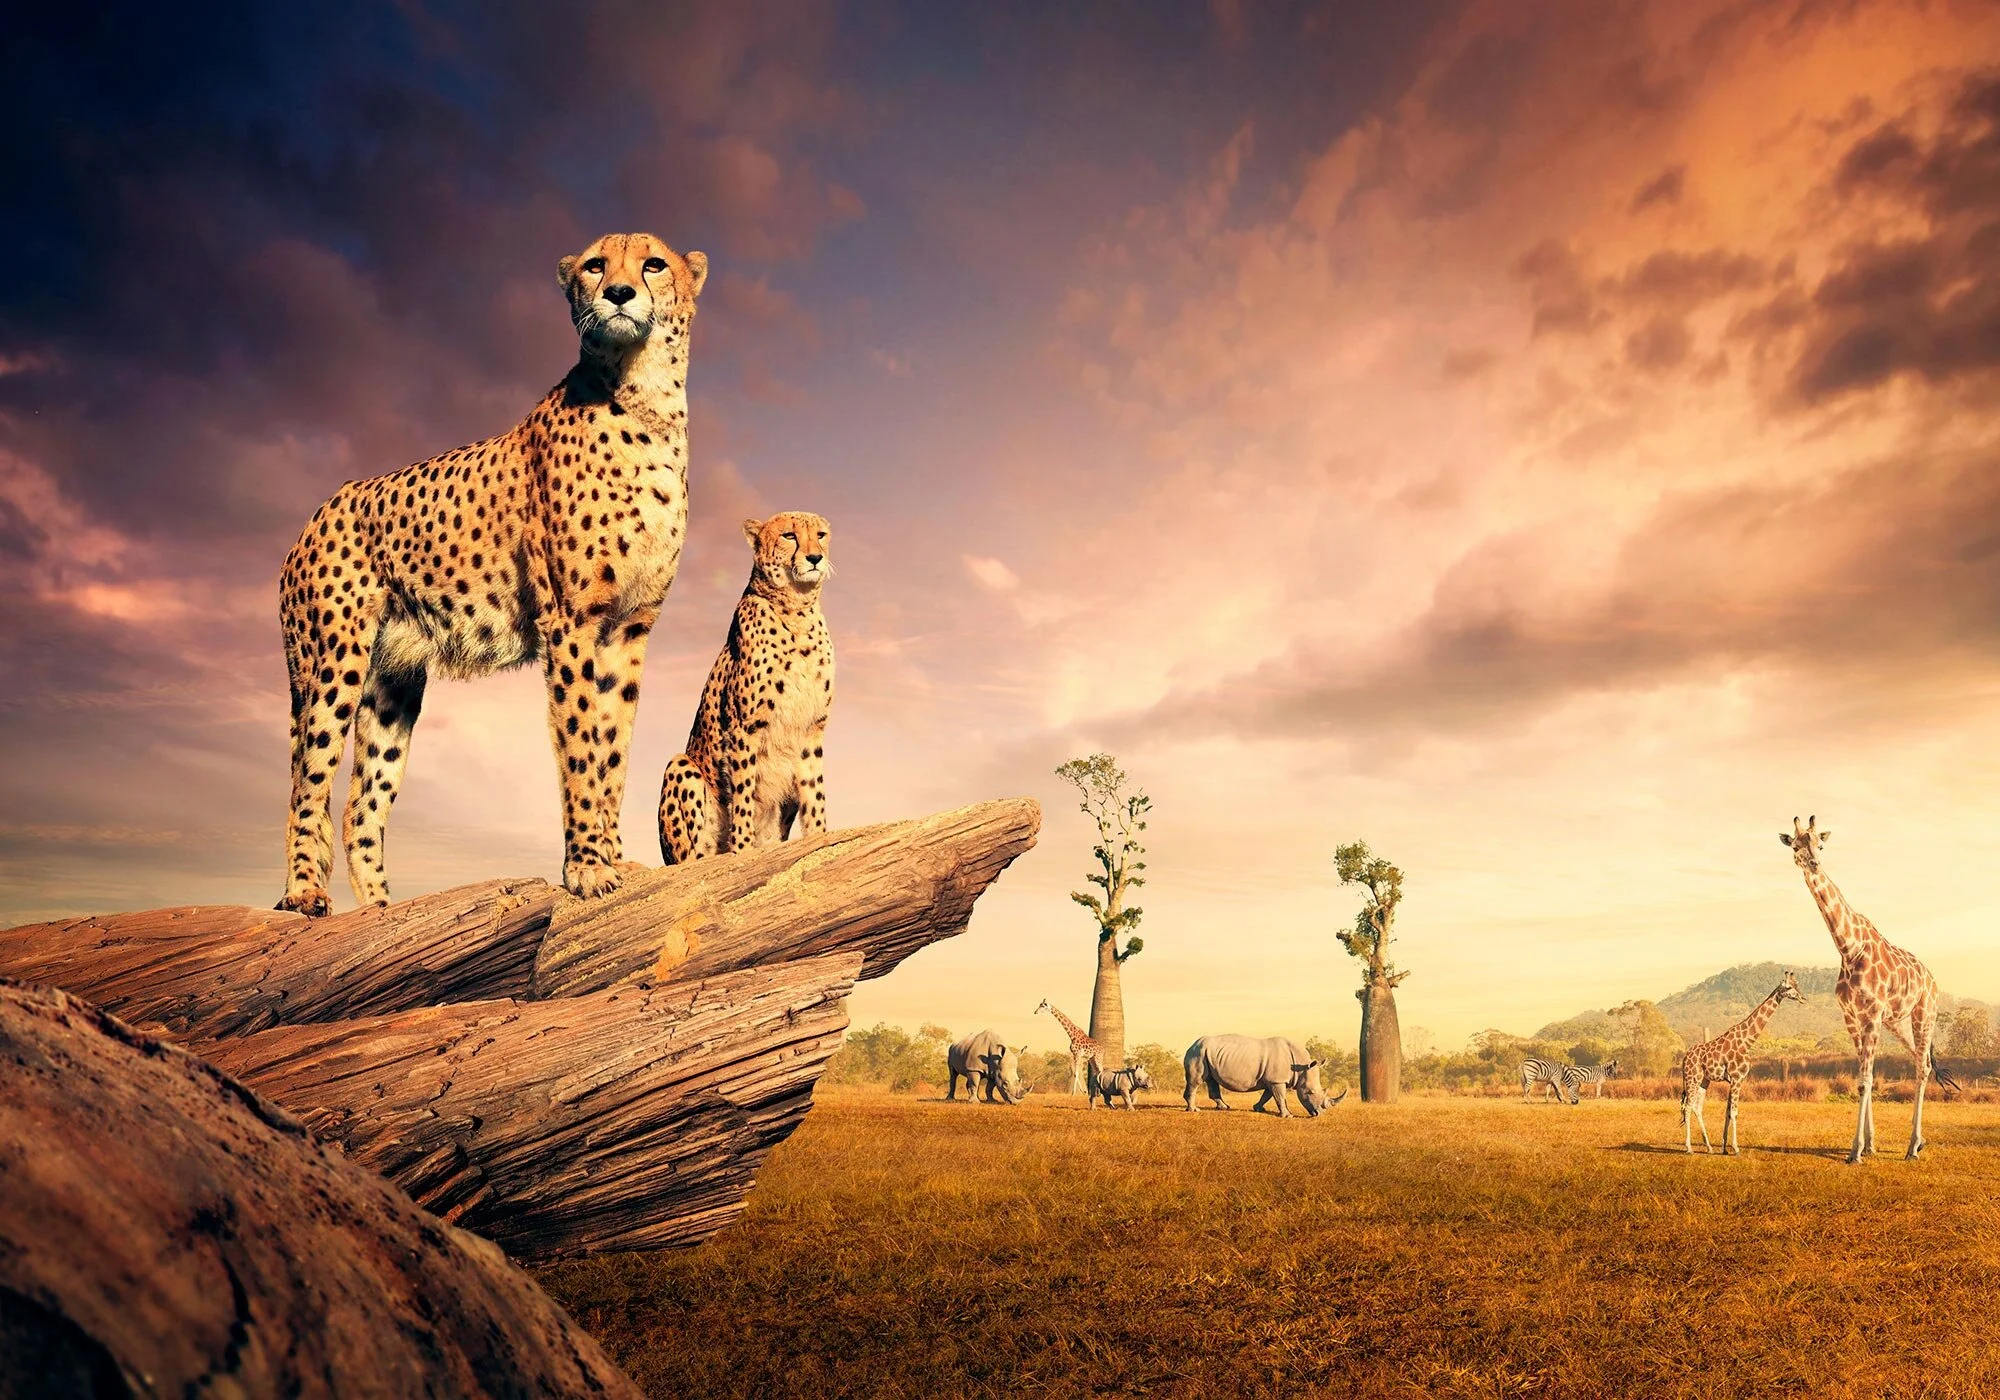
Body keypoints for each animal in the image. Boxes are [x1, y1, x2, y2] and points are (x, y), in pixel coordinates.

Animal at [275, 231, 708, 915]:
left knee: (359, 806)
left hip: (392, 687)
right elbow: (581, 743)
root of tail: (317, 512)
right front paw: (587, 868)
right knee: (306, 785)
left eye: (653, 264)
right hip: (331, 665)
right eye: (595, 265)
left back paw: (381, 913)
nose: (617, 293)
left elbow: (614, 748)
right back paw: (303, 894)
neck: (647, 399)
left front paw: (613, 857)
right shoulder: (571, 621)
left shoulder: (629, 628)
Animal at [657, 512, 835, 863]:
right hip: (681, 766)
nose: (815, 558)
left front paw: (820, 838)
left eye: (820, 535)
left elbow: (814, 792)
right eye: (789, 535)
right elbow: (743, 793)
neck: (798, 611)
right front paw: (742, 851)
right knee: (691, 858)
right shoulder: (744, 727)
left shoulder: (811, 729)